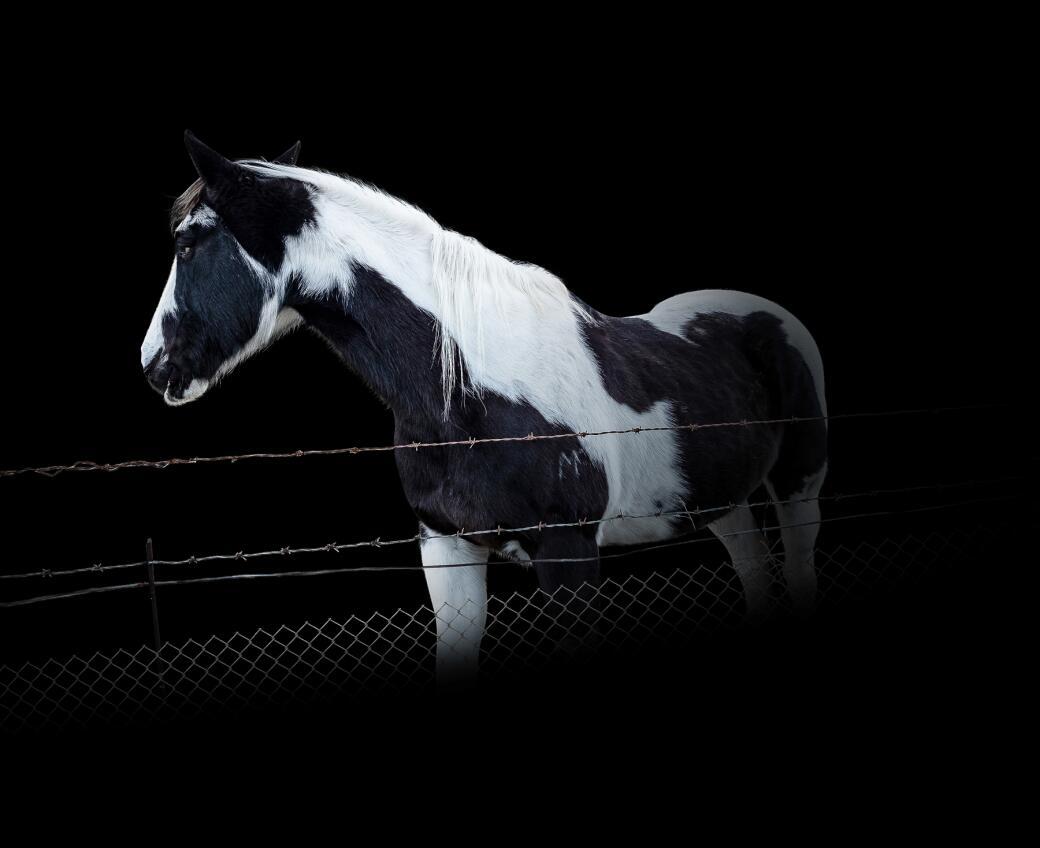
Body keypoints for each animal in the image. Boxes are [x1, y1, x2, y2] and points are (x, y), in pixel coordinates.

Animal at [142, 132, 828, 681]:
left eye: (189, 242)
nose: (154, 365)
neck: (467, 393)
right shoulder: (447, 546)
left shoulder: (568, 553)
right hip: (722, 502)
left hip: (798, 487)